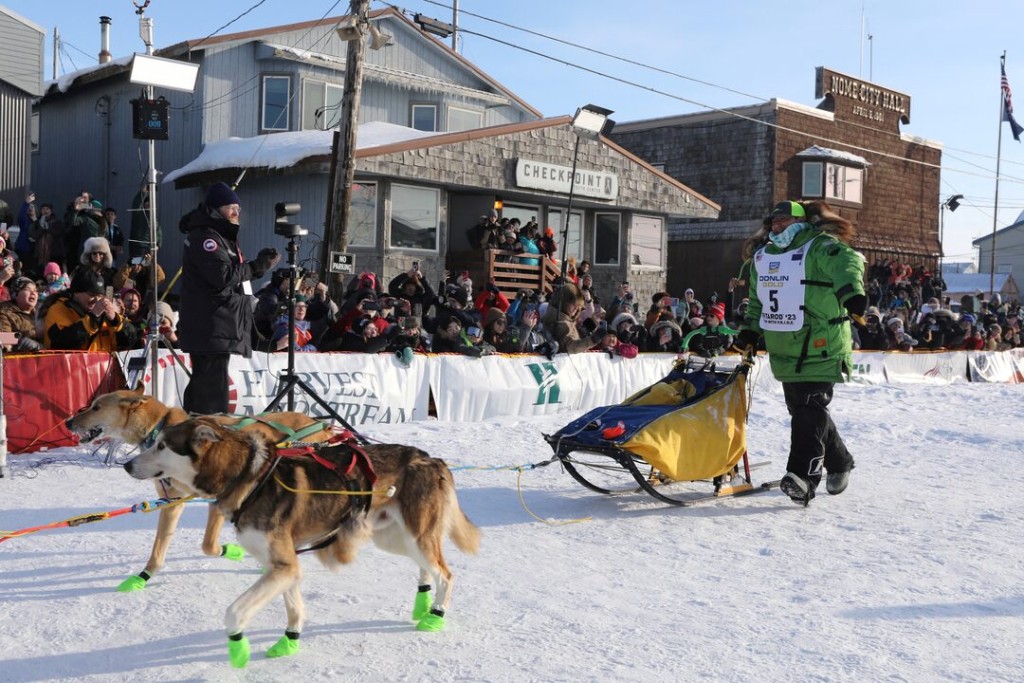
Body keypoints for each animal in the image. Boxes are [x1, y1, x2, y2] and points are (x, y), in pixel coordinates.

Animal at [65, 389, 335, 593]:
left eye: (96, 407)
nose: (68, 421)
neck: (160, 427)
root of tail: (320, 423)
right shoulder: (171, 502)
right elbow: (158, 549)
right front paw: (144, 576)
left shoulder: (216, 502)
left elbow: (208, 546)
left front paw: (231, 550)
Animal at [123, 417, 479, 667]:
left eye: (162, 446)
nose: (126, 464)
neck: (249, 477)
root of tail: (432, 458)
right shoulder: (284, 567)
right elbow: (295, 607)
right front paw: (289, 641)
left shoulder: (283, 566)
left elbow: (234, 613)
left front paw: (239, 649)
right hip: (394, 538)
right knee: (428, 569)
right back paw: (423, 603)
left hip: (416, 536)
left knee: (446, 574)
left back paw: (435, 615)